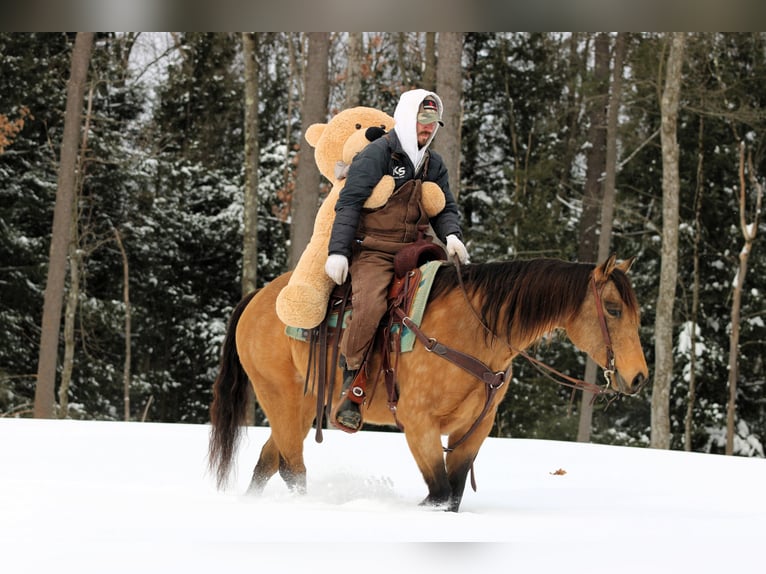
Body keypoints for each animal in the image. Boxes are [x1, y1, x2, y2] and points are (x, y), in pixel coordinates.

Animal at [208, 254, 648, 512]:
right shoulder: (419, 425)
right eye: (612, 309)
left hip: (298, 407)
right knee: (292, 468)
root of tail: (258, 297)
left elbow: (452, 495)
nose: (639, 377)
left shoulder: (474, 430)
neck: (472, 331)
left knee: (270, 464)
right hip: (280, 397)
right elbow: (437, 493)